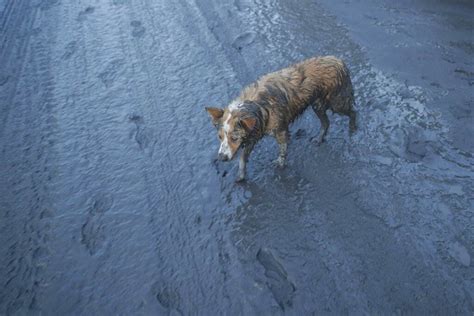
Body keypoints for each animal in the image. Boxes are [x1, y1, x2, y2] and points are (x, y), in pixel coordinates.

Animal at [206, 55, 358, 181]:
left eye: (234, 138)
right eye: (220, 137)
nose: (221, 158)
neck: (255, 105)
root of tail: (339, 61)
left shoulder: (281, 131)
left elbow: (283, 150)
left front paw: (280, 163)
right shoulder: (252, 134)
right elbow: (242, 159)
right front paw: (241, 176)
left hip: (337, 103)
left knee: (353, 112)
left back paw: (353, 129)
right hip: (318, 105)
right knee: (326, 123)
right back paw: (319, 138)